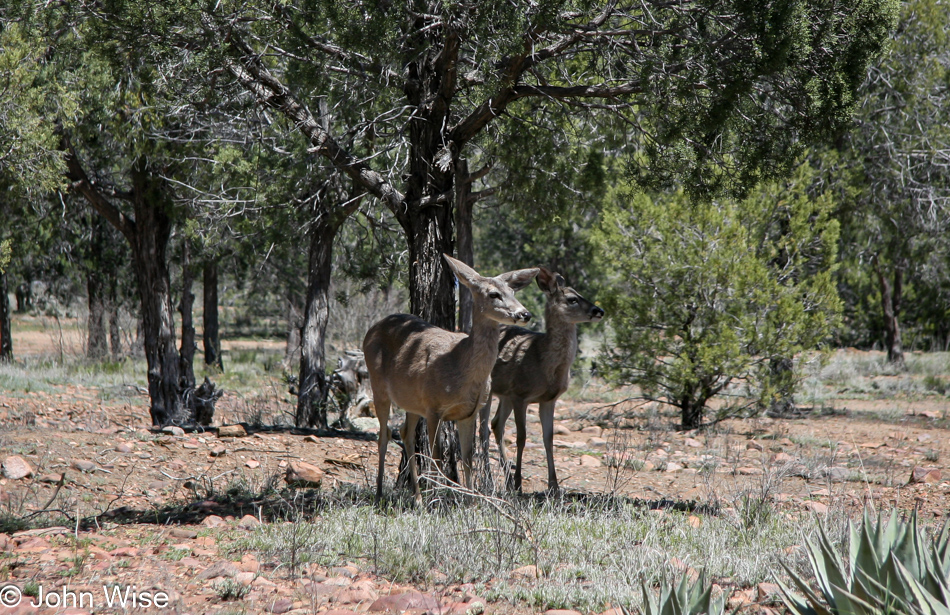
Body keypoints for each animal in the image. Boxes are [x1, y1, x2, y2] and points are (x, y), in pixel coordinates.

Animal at [364, 255, 540, 500]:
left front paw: (470, 500)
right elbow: (437, 455)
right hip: (378, 384)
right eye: (493, 294)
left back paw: (417, 498)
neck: (461, 366)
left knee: (405, 433)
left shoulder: (468, 412)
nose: (525, 314)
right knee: (384, 434)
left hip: (411, 400)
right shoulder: (434, 408)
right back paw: (381, 493)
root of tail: (371, 330)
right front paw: (439, 499)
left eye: (513, 292)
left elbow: (467, 457)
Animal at [470, 268, 608, 494]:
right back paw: (491, 480)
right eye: (572, 299)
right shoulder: (520, 395)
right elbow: (522, 437)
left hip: (505, 395)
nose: (599, 310)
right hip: (489, 390)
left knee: (496, 424)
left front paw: (554, 486)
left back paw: (506, 479)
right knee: (483, 430)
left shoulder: (548, 399)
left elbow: (548, 438)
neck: (543, 360)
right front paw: (519, 484)